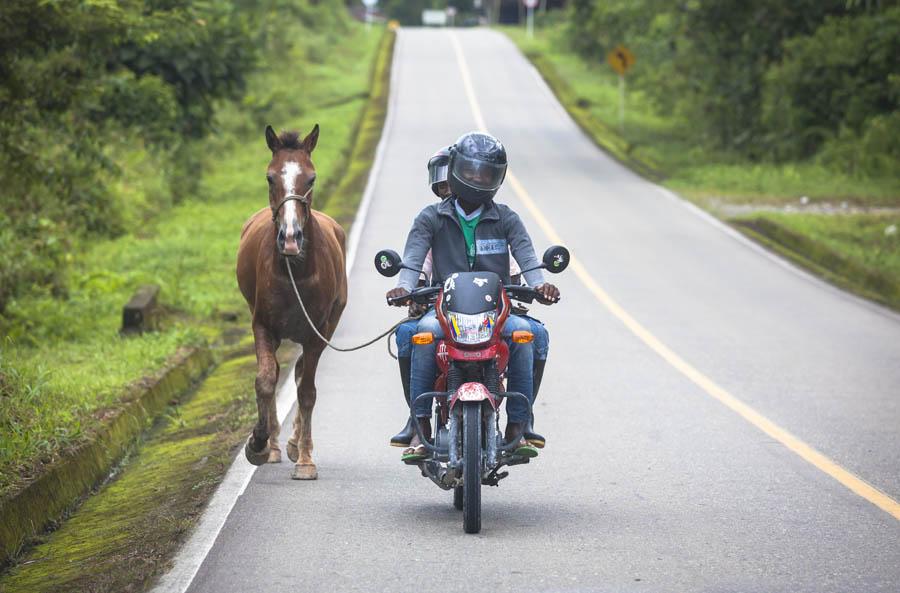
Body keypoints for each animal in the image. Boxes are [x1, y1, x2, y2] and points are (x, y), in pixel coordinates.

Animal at [236, 122, 348, 478]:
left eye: (311, 178)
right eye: (270, 177)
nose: (289, 237)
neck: (295, 271)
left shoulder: (316, 334)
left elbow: (307, 390)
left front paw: (306, 460)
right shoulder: (262, 325)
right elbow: (266, 380)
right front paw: (258, 443)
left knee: (300, 375)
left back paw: (296, 443)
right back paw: (273, 445)